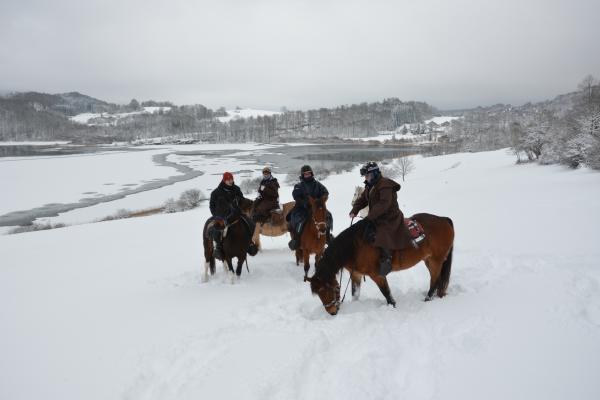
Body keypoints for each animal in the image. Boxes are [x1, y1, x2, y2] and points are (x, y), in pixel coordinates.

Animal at [308, 214, 452, 314]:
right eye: (318, 294)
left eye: (325, 290)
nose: (332, 312)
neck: (355, 247)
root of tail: (444, 220)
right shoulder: (356, 275)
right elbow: (355, 294)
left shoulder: (377, 275)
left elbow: (386, 293)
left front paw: (393, 306)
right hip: (428, 260)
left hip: (436, 261)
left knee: (434, 280)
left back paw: (427, 299)